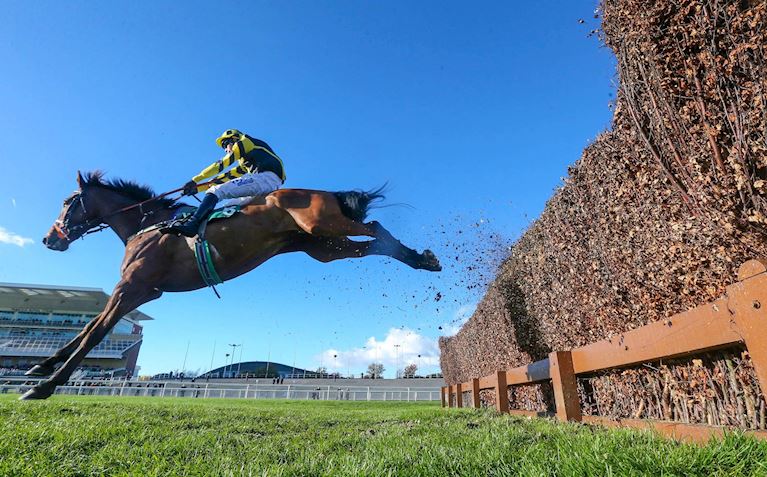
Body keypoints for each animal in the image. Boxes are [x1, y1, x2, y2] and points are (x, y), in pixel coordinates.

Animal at [21, 171, 440, 398]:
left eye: (68, 202)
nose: (49, 239)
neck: (149, 224)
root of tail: (325, 192)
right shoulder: (137, 291)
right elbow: (91, 327)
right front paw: (40, 366)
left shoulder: (134, 286)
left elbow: (96, 332)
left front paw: (45, 385)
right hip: (322, 246)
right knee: (372, 244)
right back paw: (422, 260)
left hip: (324, 225)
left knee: (376, 228)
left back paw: (422, 256)